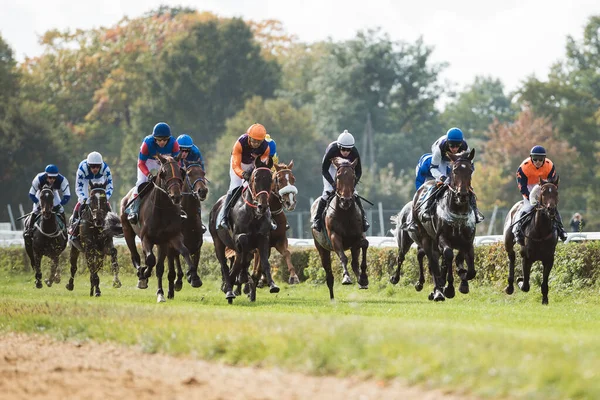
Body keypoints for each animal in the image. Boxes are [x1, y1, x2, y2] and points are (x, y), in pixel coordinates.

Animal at [120, 155, 203, 302]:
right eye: (163, 173)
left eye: (181, 171)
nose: (176, 196)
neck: (161, 210)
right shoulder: (146, 238)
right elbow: (150, 259)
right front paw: (145, 273)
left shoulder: (172, 237)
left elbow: (184, 252)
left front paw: (194, 277)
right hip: (127, 231)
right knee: (135, 256)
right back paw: (141, 275)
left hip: (162, 243)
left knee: (159, 266)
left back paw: (160, 291)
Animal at [166, 161, 209, 298]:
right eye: (189, 174)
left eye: (203, 173)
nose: (202, 191)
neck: (188, 221)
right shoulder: (175, 244)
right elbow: (178, 262)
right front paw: (179, 282)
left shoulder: (197, 245)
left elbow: (195, 261)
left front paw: (193, 277)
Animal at [209, 156, 276, 304]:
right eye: (256, 178)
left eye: (271, 179)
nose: (263, 206)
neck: (253, 214)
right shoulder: (238, 238)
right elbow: (243, 246)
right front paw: (241, 279)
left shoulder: (263, 238)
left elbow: (264, 262)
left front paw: (272, 285)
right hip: (218, 241)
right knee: (225, 265)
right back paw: (229, 291)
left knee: (237, 263)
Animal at [312, 156, 368, 300]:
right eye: (338, 176)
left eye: (353, 177)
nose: (346, 200)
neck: (345, 213)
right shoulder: (334, 236)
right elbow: (343, 257)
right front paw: (346, 278)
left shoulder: (358, 236)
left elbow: (364, 244)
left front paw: (364, 278)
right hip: (322, 248)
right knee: (328, 273)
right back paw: (332, 297)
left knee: (354, 262)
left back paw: (361, 280)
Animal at [410, 148, 476, 302]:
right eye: (455, 170)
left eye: (470, 170)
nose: (462, 195)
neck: (458, 210)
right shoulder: (442, 237)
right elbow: (449, 255)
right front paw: (449, 288)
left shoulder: (467, 240)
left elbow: (468, 266)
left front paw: (463, 279)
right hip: (426, 238)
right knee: (432, 261)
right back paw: (438, 292)